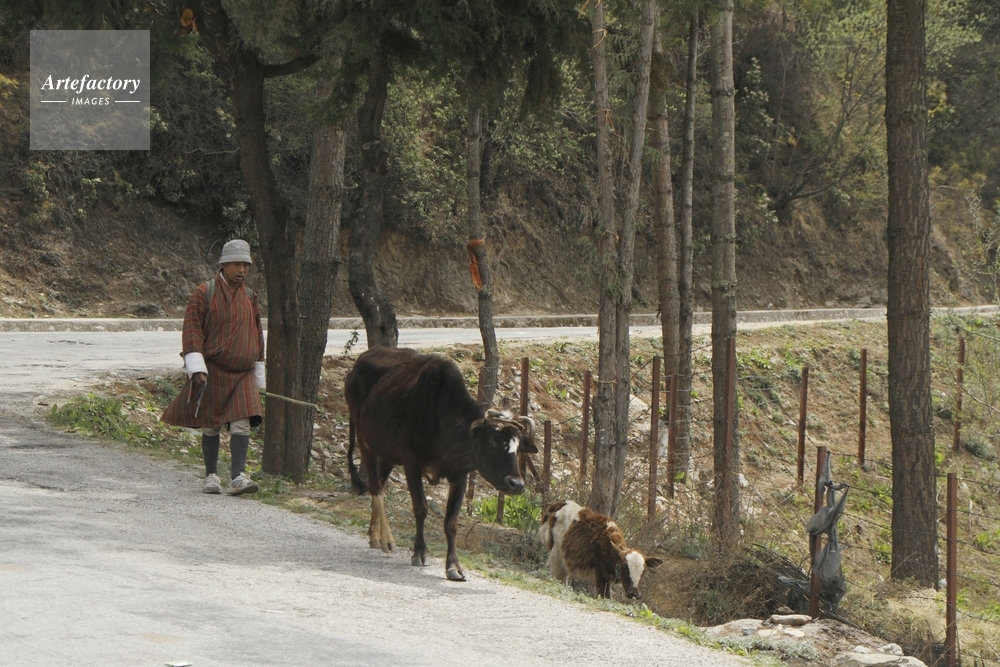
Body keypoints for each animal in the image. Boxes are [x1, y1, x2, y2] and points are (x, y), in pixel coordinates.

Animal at [345, 347, 535, 582]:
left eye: (518, 447)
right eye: (492, 441)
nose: (516, 484)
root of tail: (357, 364)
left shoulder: (460, 476)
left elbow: (451, 521)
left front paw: (453, 566)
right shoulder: (412, 465)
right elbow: (420, 508)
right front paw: (419, 553)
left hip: (387, 453)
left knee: (379, 484)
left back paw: (374, 535)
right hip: (365, 442)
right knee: (375, 488)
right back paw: (387, 539)